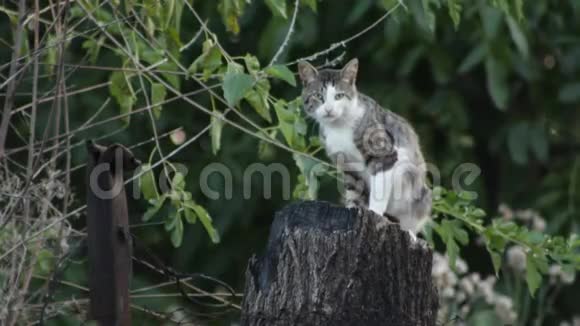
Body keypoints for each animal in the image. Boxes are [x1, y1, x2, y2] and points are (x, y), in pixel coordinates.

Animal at [300, 58, 430, 236]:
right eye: (318, 96)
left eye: (339, 96)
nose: (329, 109)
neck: (339, 127)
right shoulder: (345, 163)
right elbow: (353, 188)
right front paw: (353, 208)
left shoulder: (384, 154)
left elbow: (379, 189)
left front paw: (374, 213)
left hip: (421, 195)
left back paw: (409, 232)